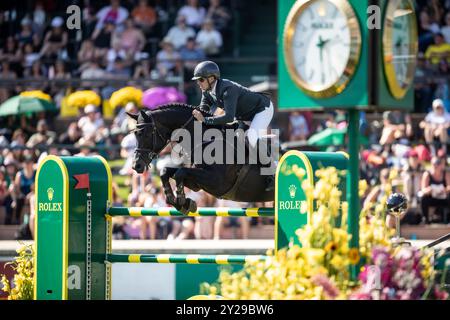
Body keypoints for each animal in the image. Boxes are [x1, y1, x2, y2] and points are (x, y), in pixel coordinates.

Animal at [126, 102, 274, 212]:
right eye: (135, 134)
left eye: (146, 134)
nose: (136, 165)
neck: (206, 140)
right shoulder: (197, 184)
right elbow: (166, 171)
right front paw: (177, 201)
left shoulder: (216, 181)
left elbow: (179, 172)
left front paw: (181, 201)